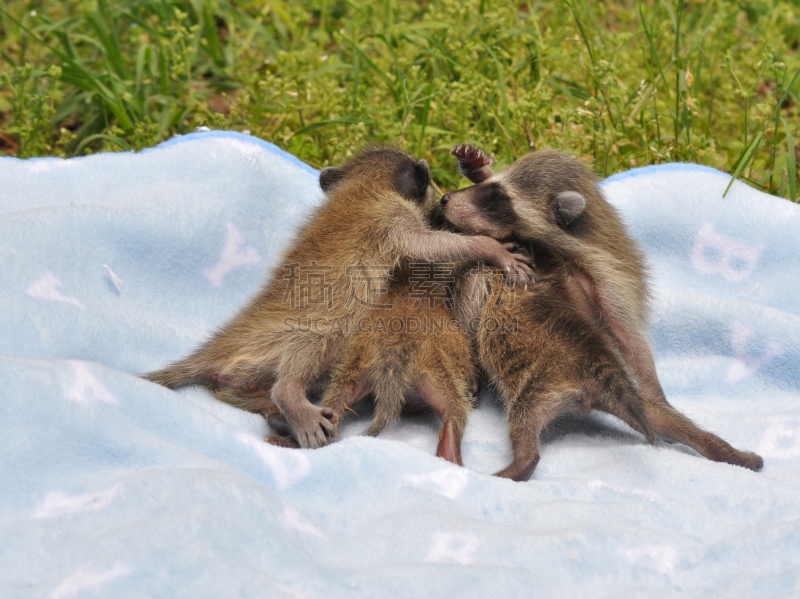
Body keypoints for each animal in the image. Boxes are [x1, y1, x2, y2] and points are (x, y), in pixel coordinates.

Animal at [144, 146, 532, 450]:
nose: (442, 203)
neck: (365, 183)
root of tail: (223, 345)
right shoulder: (393, 221)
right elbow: (431, 245)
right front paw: (493, 249)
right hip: (310, 332)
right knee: (299, 364)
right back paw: (292, 402)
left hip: (239, 382)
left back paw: (276, 415)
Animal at [444, 143, 764, 476]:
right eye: (490, 188)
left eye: (497, 198)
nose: (445, 199)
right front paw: (476, 165)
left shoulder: (607, 282)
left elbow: (631, 340)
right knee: (666, 419)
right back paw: (719, 447)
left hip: (536, 391)